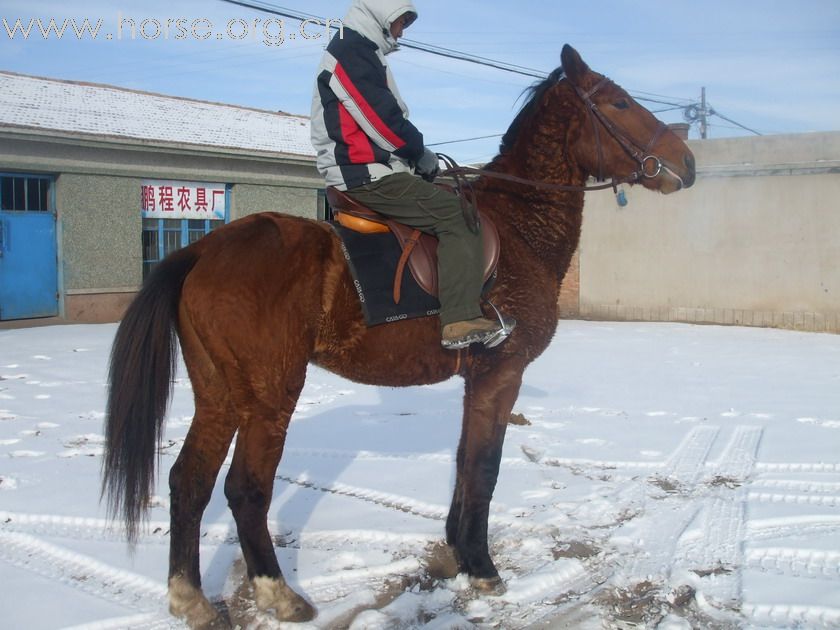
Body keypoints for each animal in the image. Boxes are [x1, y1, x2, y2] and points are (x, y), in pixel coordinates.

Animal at [103, 45, 696, 628]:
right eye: (618, 103)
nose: (687, 164)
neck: (519, 225)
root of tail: (201, 250)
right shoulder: (501, 373)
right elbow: (484, 466)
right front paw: (482, 567)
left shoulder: (476, 379)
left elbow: (464, 459)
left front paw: (459, 549)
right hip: (269, 396)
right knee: (245, 488)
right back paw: (279, 595)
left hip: (221, 394)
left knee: (190, 480)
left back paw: (192, 599)